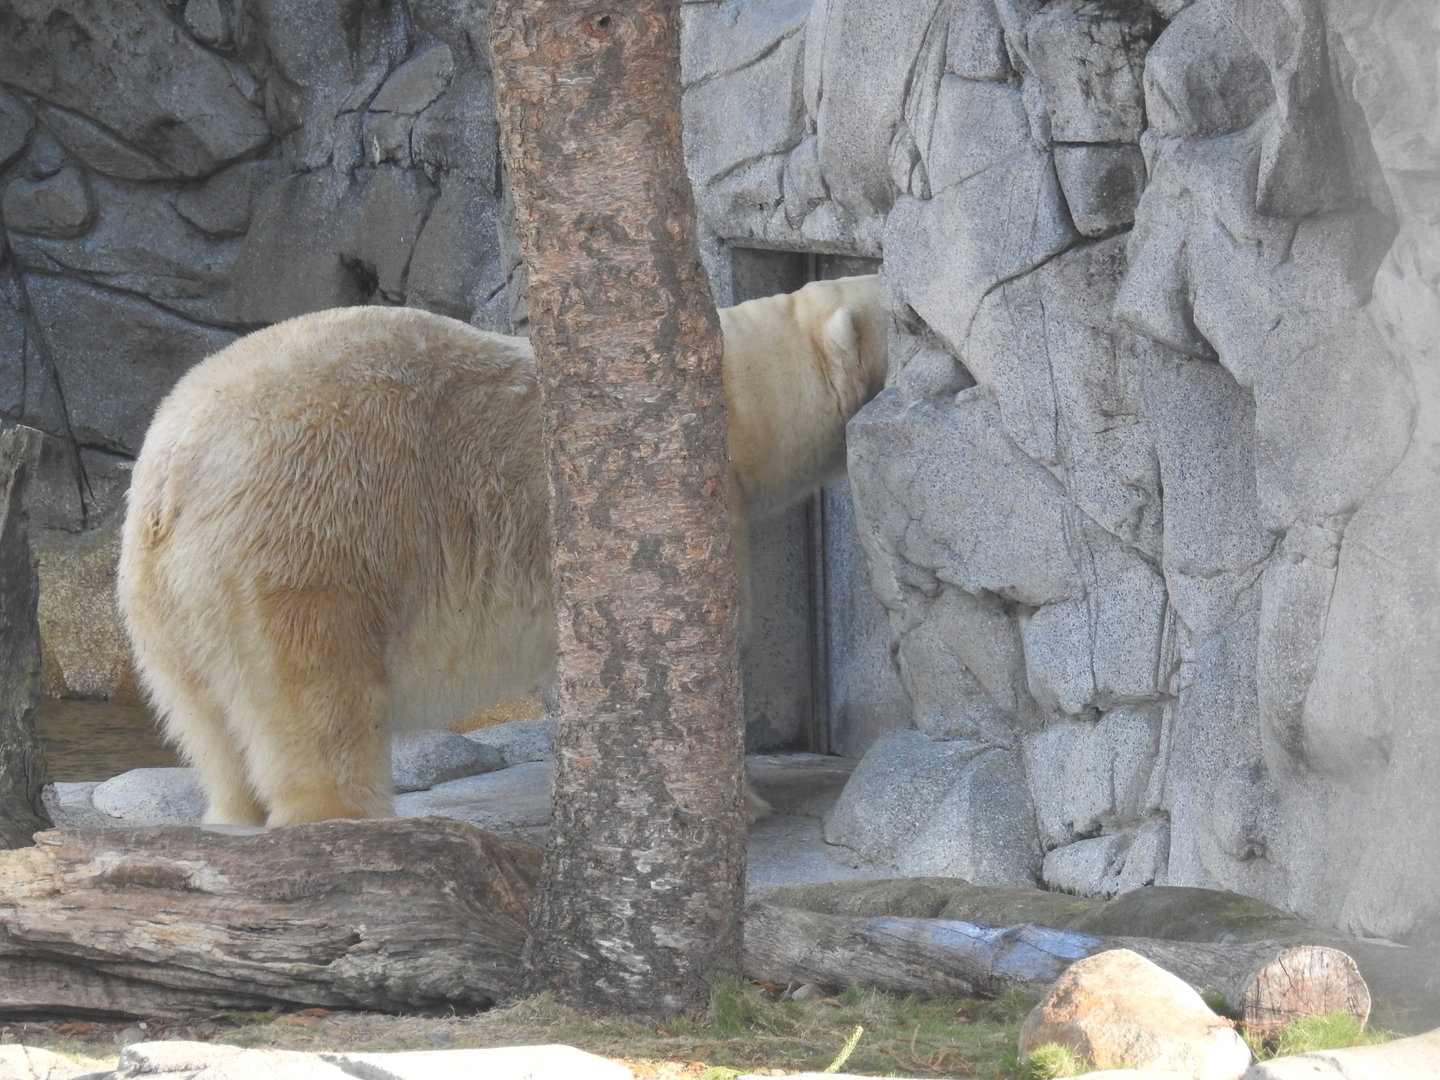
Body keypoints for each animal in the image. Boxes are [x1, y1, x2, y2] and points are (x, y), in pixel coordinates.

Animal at [117, 275, 888, 826]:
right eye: (900, 314)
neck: (730, 396)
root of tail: (175, 470)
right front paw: (741, 805)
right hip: (312, 530)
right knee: (318, 692)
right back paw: (344, 817)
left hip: (163, 599)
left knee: (205, 720)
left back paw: (233, 812)